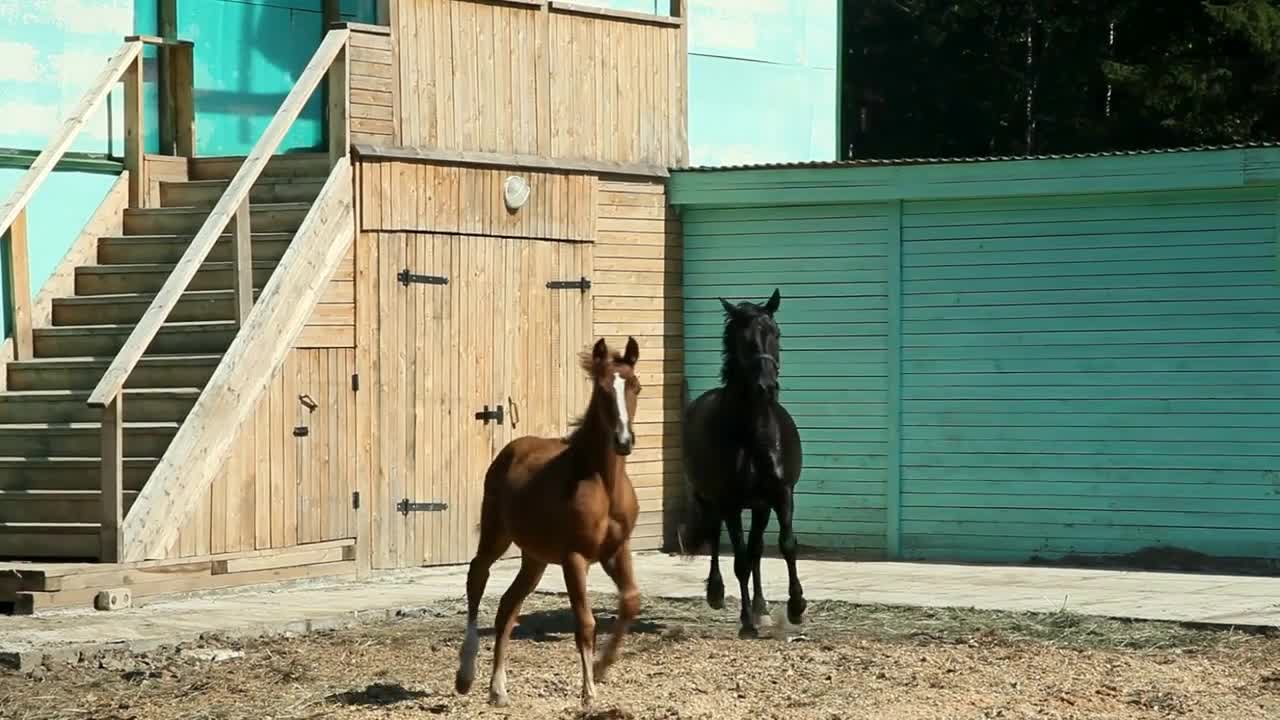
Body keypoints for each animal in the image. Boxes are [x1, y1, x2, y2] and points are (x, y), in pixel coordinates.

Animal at [455, 335, 645, 707]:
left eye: (636, 387)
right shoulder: (575, 557)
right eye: (602, 390)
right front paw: (589, 692)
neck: (602, 483)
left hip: (535, 559)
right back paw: (465, 675)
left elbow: (630, 601)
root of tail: (510, 450)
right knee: (477, 575)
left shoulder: (617, 550)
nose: (623, 442)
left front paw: (601, 668)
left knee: (507, 607)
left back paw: (498, 689)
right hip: (497, 534)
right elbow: (585, 623)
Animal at [675, 285, 803, 632]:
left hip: (758, 506)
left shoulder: (781, 495)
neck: (753, 433)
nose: (767, 387)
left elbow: (786, 545)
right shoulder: (730, 502)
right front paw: (746, 622)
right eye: (744, 340)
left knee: (756, 549)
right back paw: (717, 594)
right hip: (711, 500)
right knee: (717, 539)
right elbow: (740, 560)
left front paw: (796, 606)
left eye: (775, 332)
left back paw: (761, 607)